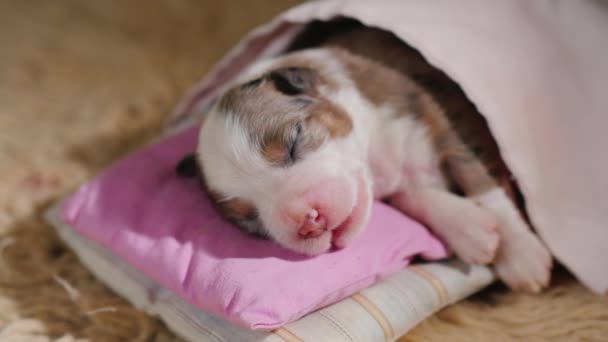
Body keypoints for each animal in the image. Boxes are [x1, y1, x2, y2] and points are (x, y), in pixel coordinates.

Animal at [178, 27, 552, 294]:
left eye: (294, 141)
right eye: (249, 219)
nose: (309, 221)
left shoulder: (439, 120)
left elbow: (481, 182)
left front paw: (521, 256)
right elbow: (409, 194)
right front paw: (470, 230)